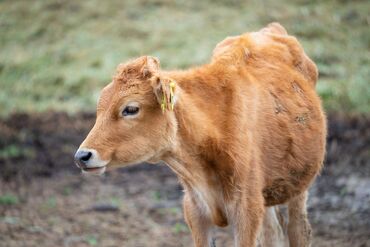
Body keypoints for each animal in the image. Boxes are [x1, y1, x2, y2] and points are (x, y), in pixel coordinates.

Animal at [75, 22, 326, 246]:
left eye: (130, 109)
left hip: (298, 187)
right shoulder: (195, 211)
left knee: (298, 230)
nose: (82, 156)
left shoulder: (246, 210)